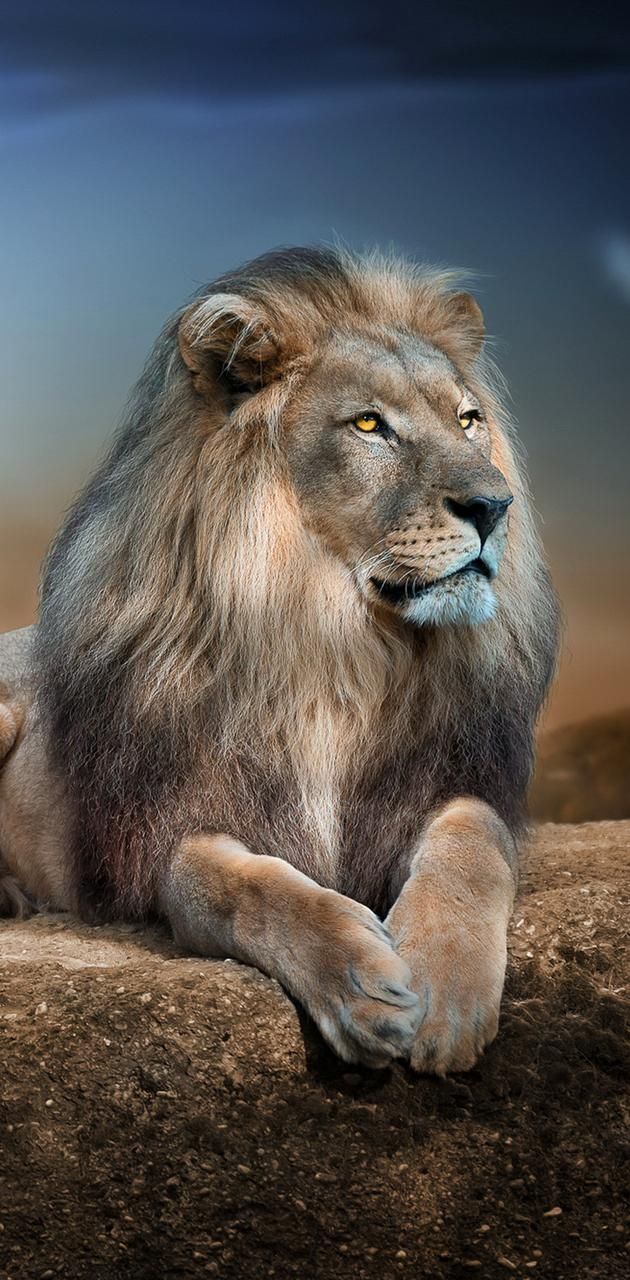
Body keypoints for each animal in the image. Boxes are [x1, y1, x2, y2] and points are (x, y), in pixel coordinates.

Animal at [0, 246, 559, 1073]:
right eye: (369, 424)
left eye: (468, 419)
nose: (494, 507)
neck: (334, 646)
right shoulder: (175, 827)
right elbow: (245, 887)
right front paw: (361, 985)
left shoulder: (447, 779)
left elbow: (473, 843)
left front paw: (445, 991)